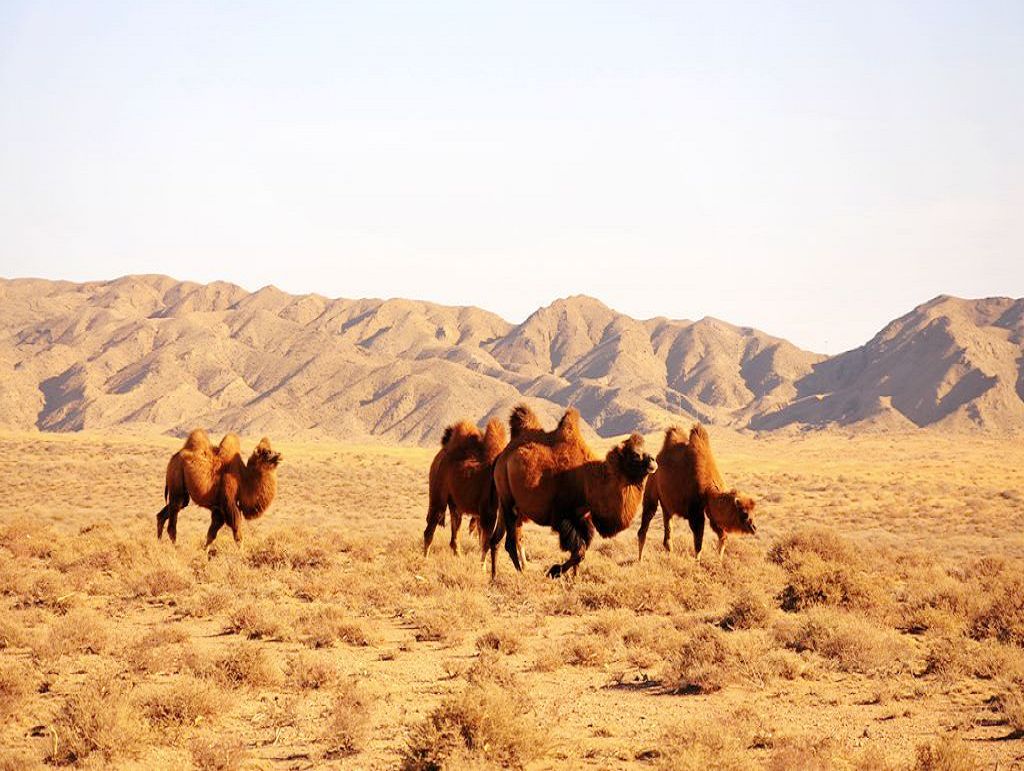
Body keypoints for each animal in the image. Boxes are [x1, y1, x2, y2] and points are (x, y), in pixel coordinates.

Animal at [421, 415, 505, 561]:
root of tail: (439, 455)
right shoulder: (487, 512)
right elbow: (487, 542)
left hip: (455, 504)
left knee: (455, 531)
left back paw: (458, 555)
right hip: (438, 497)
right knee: (430, 529)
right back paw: (425, 558)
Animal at [487, 405, 655, 573]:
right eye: (635, 454)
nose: (653, 461)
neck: (591, 481)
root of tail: (502, 458)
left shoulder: (583, 517)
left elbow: (580, 554)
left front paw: (573, 577)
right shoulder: (564, 516)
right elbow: (579, 552)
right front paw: (554, 571)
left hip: (505, 503)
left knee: (495, 540)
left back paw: (494, 576)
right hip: (509, 503)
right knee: (510, 542)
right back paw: (520, 572)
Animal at [634, 423, 757, 561]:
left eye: (754, 512)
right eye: (744, 513)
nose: (754, 528)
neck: (709, 489)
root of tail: (657, 458)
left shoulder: (709, 509)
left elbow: (722, 535)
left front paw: (719, 560)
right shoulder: (695, 510)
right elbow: (699, 541)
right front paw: (697, 561)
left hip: (667, 505)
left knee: (668, 533)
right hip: (652, 484)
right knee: (645, 522)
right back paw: (640, 559)